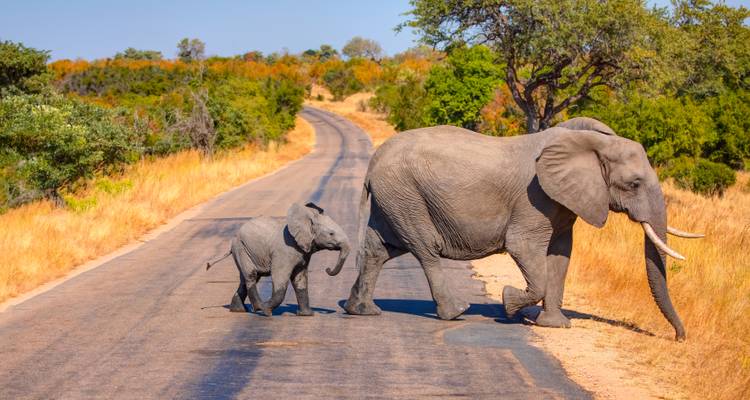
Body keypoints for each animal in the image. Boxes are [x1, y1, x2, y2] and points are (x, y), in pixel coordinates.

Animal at [206, 202, 350, 316]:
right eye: (331, 233)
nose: (328, 269)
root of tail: (233, 239)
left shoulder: (303, 253)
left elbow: (300, 279)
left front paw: (306, 315)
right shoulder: (284, 252)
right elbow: (280, 277)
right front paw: (266, 311)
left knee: (245, 279)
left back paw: (238, 310)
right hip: (241, 249)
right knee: (251, 276)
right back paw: (258, 308)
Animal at [343, 117, 702, 341]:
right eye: (634, 183)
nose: (679, 338)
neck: (589, 143)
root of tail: (373, 164)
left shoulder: (562, 203)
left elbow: (560, 256)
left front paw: (555, 325)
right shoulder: (535, 199)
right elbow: (523, 248)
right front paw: (509, 303)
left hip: (394, 199)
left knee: (379, 249)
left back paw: (361, 311)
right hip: (406, 196)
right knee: (426, 249)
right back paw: (456, 312)